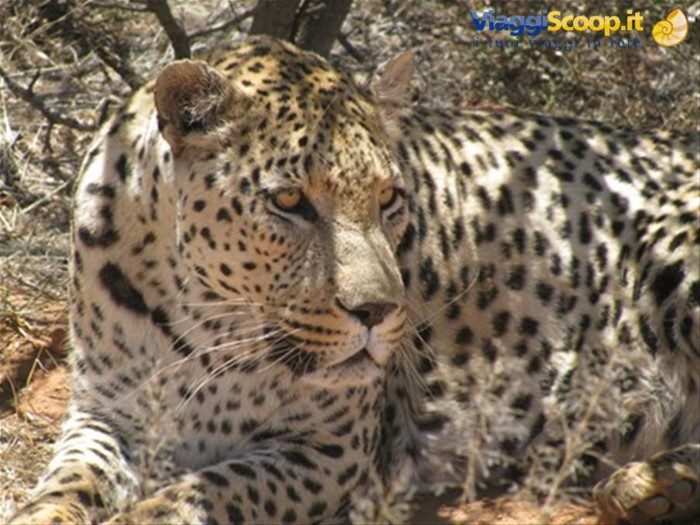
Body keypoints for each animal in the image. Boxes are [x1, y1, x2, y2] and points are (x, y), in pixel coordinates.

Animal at [9, 35, 699, 524]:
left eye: (390, 197)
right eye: (289, 200)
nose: (380, 312)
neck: (199, 322)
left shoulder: (328, 451)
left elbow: (193, 496)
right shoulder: (106, 417)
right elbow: (64, 486)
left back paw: (646, 486)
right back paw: (653, 488)